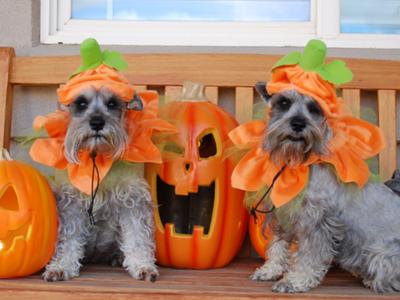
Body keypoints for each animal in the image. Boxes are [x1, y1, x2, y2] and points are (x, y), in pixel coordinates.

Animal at [41, 86, 158, 282]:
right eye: (81, 103)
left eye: (112, 103)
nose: (97, 123)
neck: (97, 156)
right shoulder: (71, 203)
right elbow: (68, 237)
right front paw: (61, 267)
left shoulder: (132, 198)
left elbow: (137, 235)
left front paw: (143, 266)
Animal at [252, 84, 400, 292]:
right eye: (284, 102)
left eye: (314, 108)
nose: (298, 124)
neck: (302, 163)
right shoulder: (284, 215)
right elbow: (278, 245)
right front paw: (269, 270)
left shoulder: (318, 221)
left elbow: (309, 255)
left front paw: (295, 281)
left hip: (382, 255)